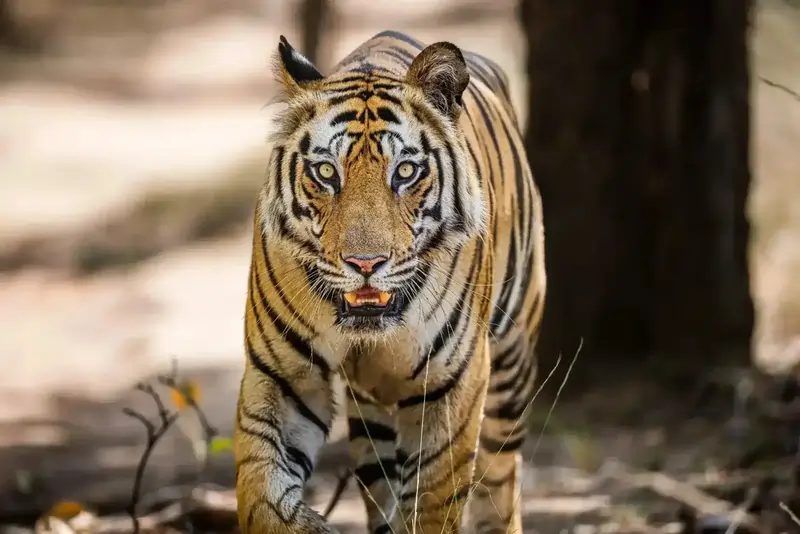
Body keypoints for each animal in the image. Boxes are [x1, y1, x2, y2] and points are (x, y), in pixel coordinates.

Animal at [234, 30, 546, 534]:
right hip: (370, 416)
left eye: (405, 171)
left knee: (500, 481)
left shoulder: (453, 381)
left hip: (510, 368)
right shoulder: (282, 375)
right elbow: (261, 493)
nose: (366, 263)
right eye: (326, 172)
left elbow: (435, 497)